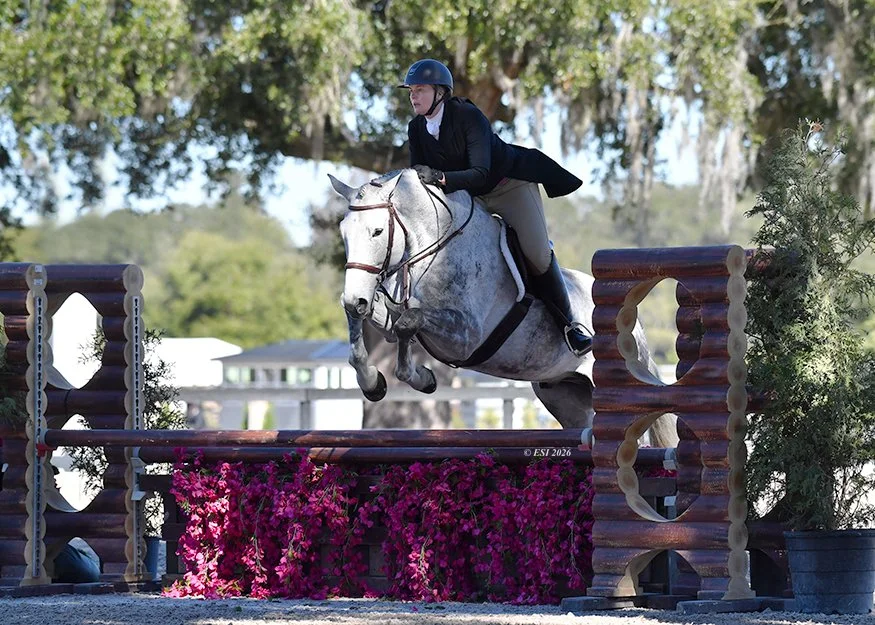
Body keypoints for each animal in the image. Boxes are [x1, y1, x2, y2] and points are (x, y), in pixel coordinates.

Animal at [329, 169, 678, 448]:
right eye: (343, 232)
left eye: (377, 231)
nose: (355, 297)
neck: (435, 248)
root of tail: (635, 325)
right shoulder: (390, 313)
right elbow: (381, 326)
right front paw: (376, 381)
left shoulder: (464, 337)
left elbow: (409, 322)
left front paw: (418, 376)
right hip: (565, 396)